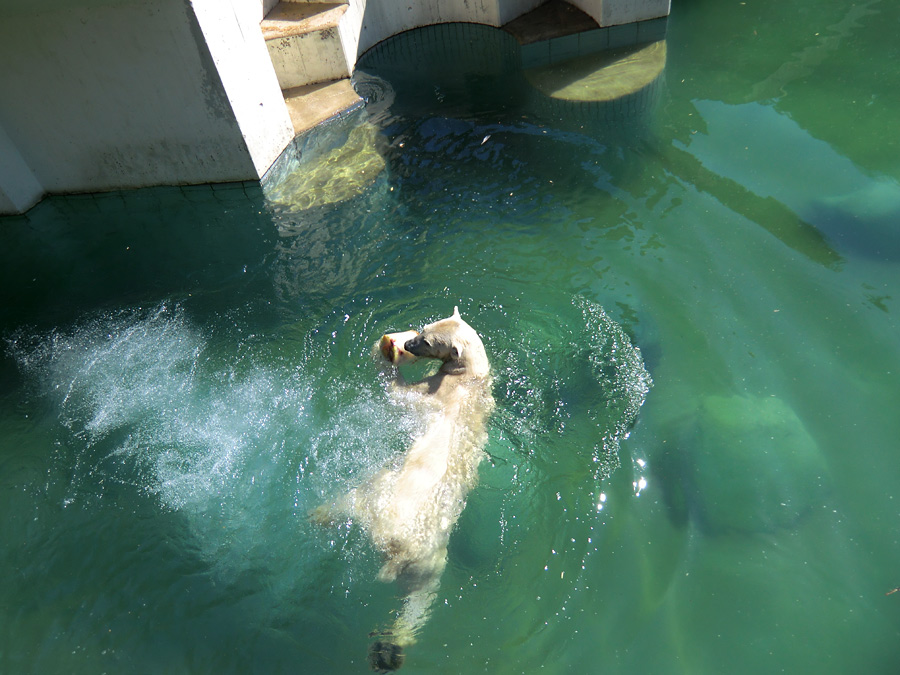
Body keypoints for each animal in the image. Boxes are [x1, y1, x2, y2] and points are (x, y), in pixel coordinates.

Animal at [310, 308, 492, 672]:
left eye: (426, 340)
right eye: (424, 328)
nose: (406, 344)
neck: (473, 378)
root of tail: (395, 547)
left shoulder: (440, 393)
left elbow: (400, 396)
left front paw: (384, 358)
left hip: (391, 504)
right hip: (424, 558)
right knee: (420, 596)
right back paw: (388, 650)